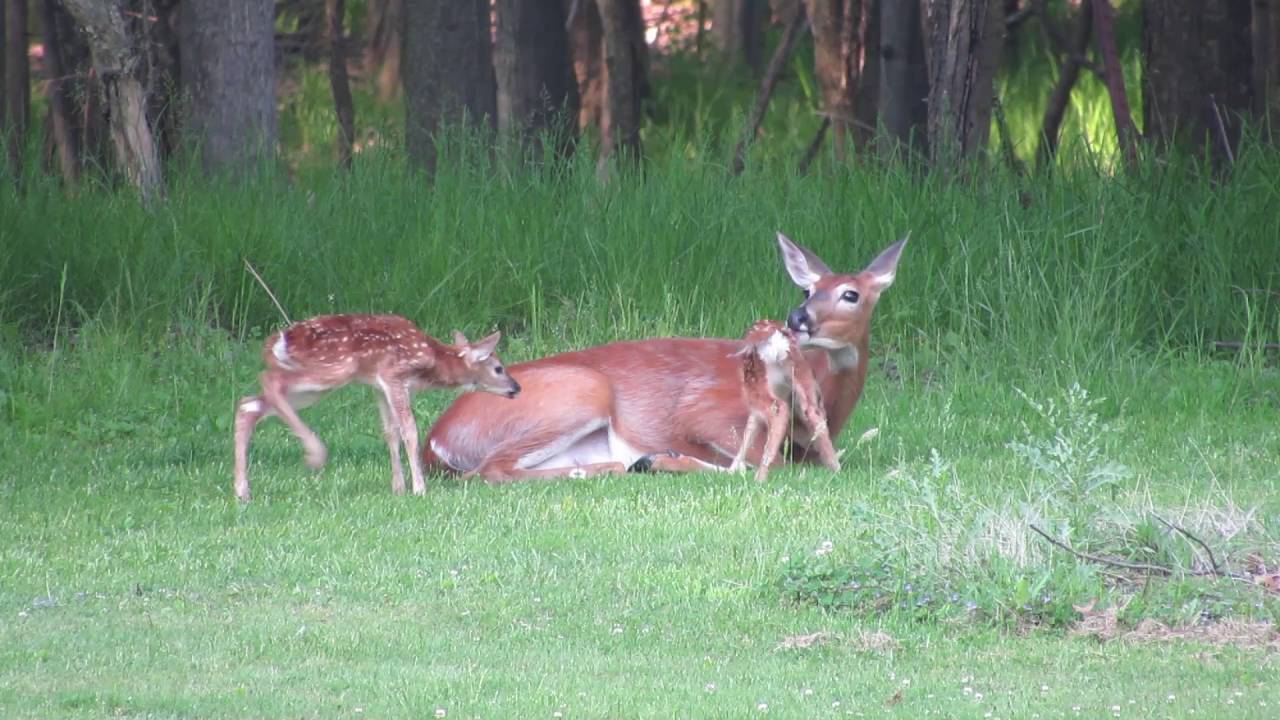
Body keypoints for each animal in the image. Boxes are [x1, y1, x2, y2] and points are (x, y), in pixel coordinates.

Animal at [233, 314, 520, 502]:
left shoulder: (379, 386)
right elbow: (410, 431)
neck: (434, 362)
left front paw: (398, 488)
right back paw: (315, 453)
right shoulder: (394, 375)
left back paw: (243, 491)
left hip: (312, 388)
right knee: (270, 381)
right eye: (498, 368)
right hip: (334, 369)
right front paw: (419, 489)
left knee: (249, 405)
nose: (516, 388)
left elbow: (390, 432)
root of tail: (278, 341)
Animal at [729, 319, 841, 481]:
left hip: (764, 390)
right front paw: (731, 470)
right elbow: (748, 434)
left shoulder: (755, 403)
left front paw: (731, 471)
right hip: (805, 381)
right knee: (817, 420)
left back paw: (759, 479)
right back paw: (836, 469)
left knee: (778, 418)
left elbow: (747, 435)